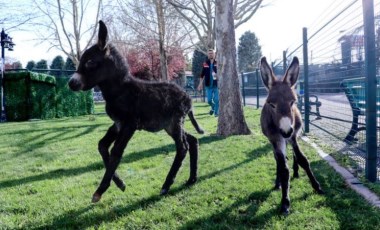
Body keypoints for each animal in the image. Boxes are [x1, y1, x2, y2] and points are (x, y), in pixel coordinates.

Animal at [68, 20, 205, 202]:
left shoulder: (129, 124)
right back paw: (191, 179)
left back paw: (166, 185)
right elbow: (102, 145)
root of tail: (188, 98)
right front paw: (120, 184)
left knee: (182, 147)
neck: (121, 90)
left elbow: (116, 152)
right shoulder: (117, 124)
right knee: (193, 141)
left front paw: (100, 191)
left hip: (174, 123)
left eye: (90, 62)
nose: (71, 83)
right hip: (170, 125)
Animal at [258, 55, 324, 214]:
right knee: (278, 159)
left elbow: (302, 159)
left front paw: (317, 186)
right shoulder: (276, 140)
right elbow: (283, 168)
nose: (286, 130)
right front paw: (285, 201)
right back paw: (278, 183)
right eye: (271, 104)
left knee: (294, 156)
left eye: (293, 102)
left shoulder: (294, 136)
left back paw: (296, 172)